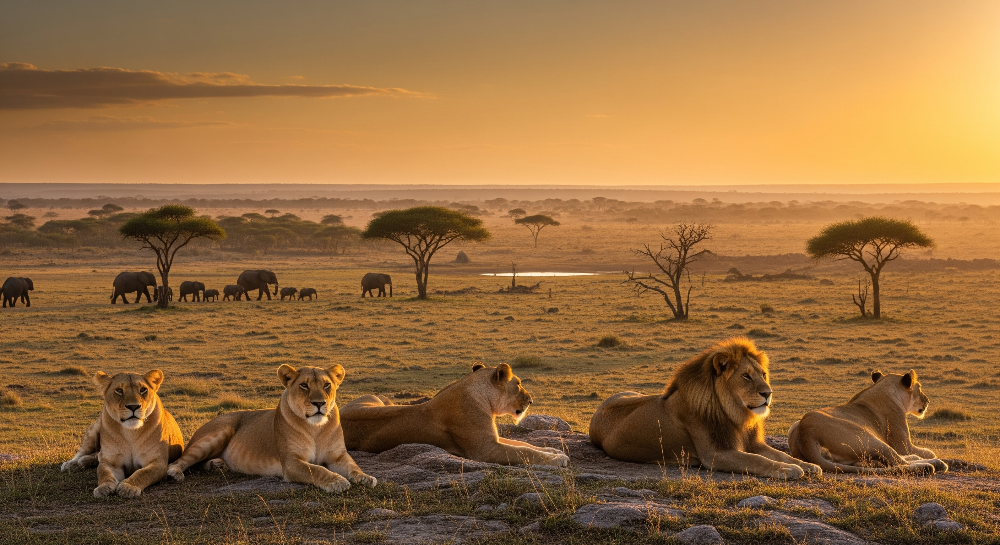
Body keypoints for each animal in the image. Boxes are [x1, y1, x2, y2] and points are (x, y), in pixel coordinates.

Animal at [61, 370, 184, 498]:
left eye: (143, 390)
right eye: (119, 390)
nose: (133, 406)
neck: (131, 433)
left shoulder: (157, 463)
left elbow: (142, 473)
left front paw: (128, 487)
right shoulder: (111, 463)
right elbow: (104, 473)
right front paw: (103, 487)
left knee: (97, 455)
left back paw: (84, 461)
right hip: (93, 430)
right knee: (84, 452)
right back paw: (71, 464)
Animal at [166, 364, 376, 493]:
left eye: (326, 385)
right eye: (304, 385)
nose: (319, 403)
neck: (316, 428)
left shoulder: (338, 456)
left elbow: (353, 466)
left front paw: (365, 477)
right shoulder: (291, 463)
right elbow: (316, 470)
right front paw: (337, 481)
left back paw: (217, 465)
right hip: (219, 432)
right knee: (181, 460)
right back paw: (176, 472)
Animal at [341, 363, 569, 467]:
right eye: (519, 384)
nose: (531, 401)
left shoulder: (492, 439)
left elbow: (525, 444)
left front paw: (553, 450)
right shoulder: (484, 450)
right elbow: (524, 453)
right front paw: (558, 459)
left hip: (378, 398)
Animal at [589, 337, 821, 479]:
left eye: (763, 374)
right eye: (746, 376)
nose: (768, 393)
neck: (736, 414)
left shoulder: (753, 443)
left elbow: (780, 454)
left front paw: (807, 465)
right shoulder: (715, 454)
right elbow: (757, 460)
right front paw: (789, 469)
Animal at [787, 370, 948, 474]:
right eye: (919, 387)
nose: (927, 401)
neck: (883, 388)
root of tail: (805, 435)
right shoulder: (904, 445)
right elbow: (927, 452)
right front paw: (930, 456)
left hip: (795, 425)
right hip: (870, 438)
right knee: (900, 463)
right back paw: (934, 465)